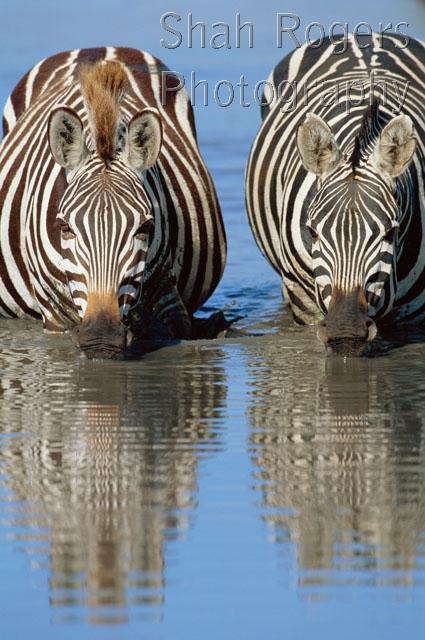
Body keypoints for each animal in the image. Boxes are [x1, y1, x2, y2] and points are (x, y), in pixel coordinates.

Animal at [0, 47, 226, 357]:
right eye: (65, 228)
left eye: (145, 228)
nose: (101, 336)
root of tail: (94, 47)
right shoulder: (55, 313)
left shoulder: (167, 296)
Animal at [246, 33, 425, 354]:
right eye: (313, 232)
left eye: (391, 232)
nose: (345, 330)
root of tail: (363, 35)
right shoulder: (305, 304)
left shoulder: (414, 313)